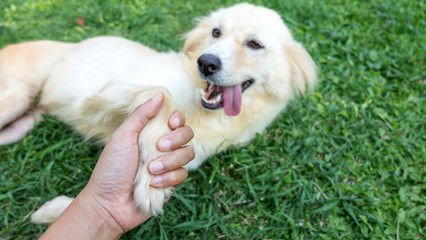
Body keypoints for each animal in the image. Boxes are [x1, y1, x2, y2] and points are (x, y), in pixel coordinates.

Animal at [0, 3, 316, 223]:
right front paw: (151, 183)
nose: (206, 63)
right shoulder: (98, 98)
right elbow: (162, 94)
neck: (205, 113)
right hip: (15, 98)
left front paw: (56, 211)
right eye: (216, 32)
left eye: (255, 44)